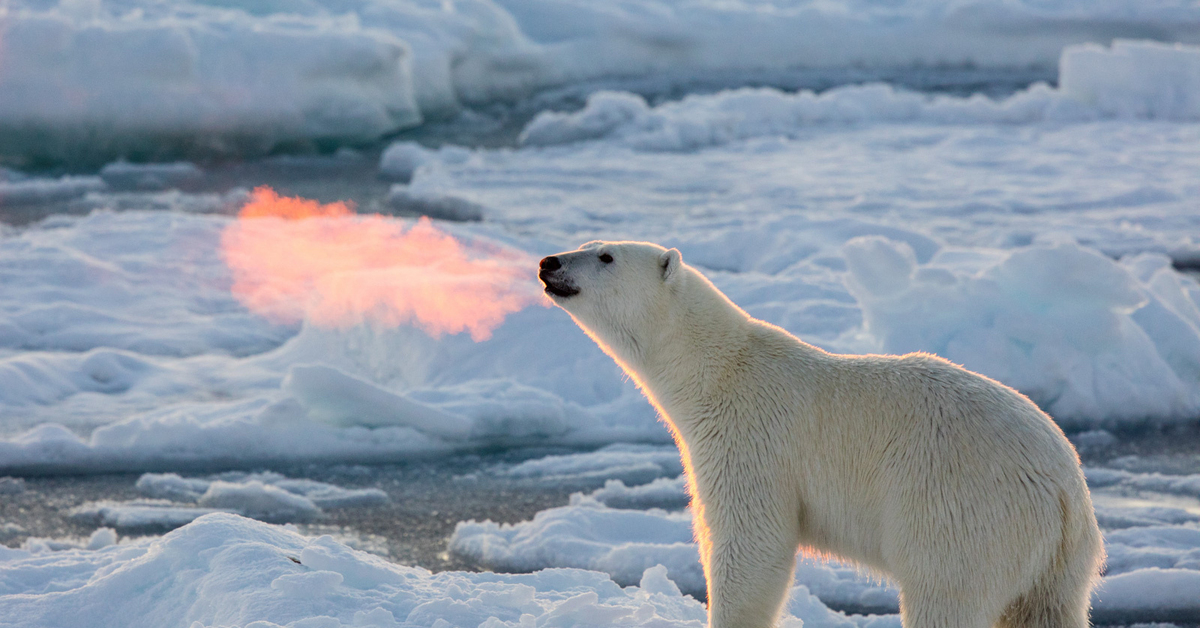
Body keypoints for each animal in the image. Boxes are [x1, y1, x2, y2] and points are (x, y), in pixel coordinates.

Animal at [540, 242, 1099, 628]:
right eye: (587, 241)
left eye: (605, 255)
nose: (549, 262)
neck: (716, 372)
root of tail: (1063, 487)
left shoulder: (751, 439)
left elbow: (752, 543)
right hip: (1058, 562)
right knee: (1045, 611)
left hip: (961, 513)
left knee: (945, 595)